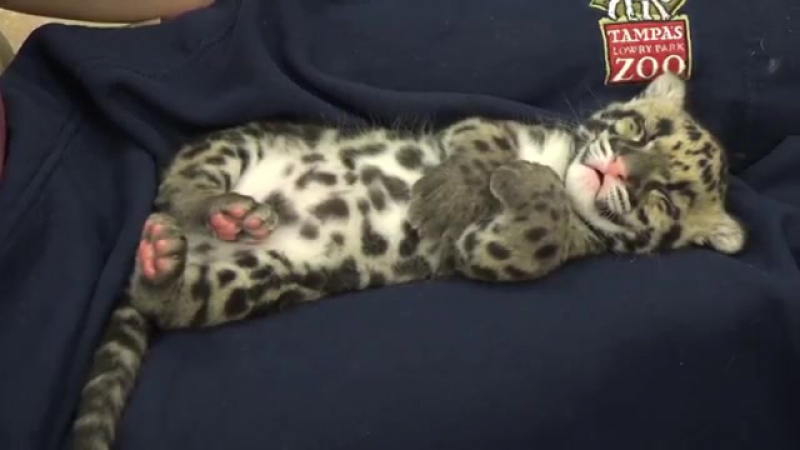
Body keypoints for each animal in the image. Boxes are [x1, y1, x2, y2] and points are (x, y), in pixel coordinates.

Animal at [68, 73, 745, 450]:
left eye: (664, 196)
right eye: (639, 133)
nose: (617, 171)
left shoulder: (491, 250)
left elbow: (538, 234)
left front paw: (530, 186)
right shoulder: (484, 124)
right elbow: (480, 149)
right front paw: (461, 188)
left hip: (247, 281)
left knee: (169, 298)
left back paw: (163, 260)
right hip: (233, 142)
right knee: (180, 182)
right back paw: (221, 209)